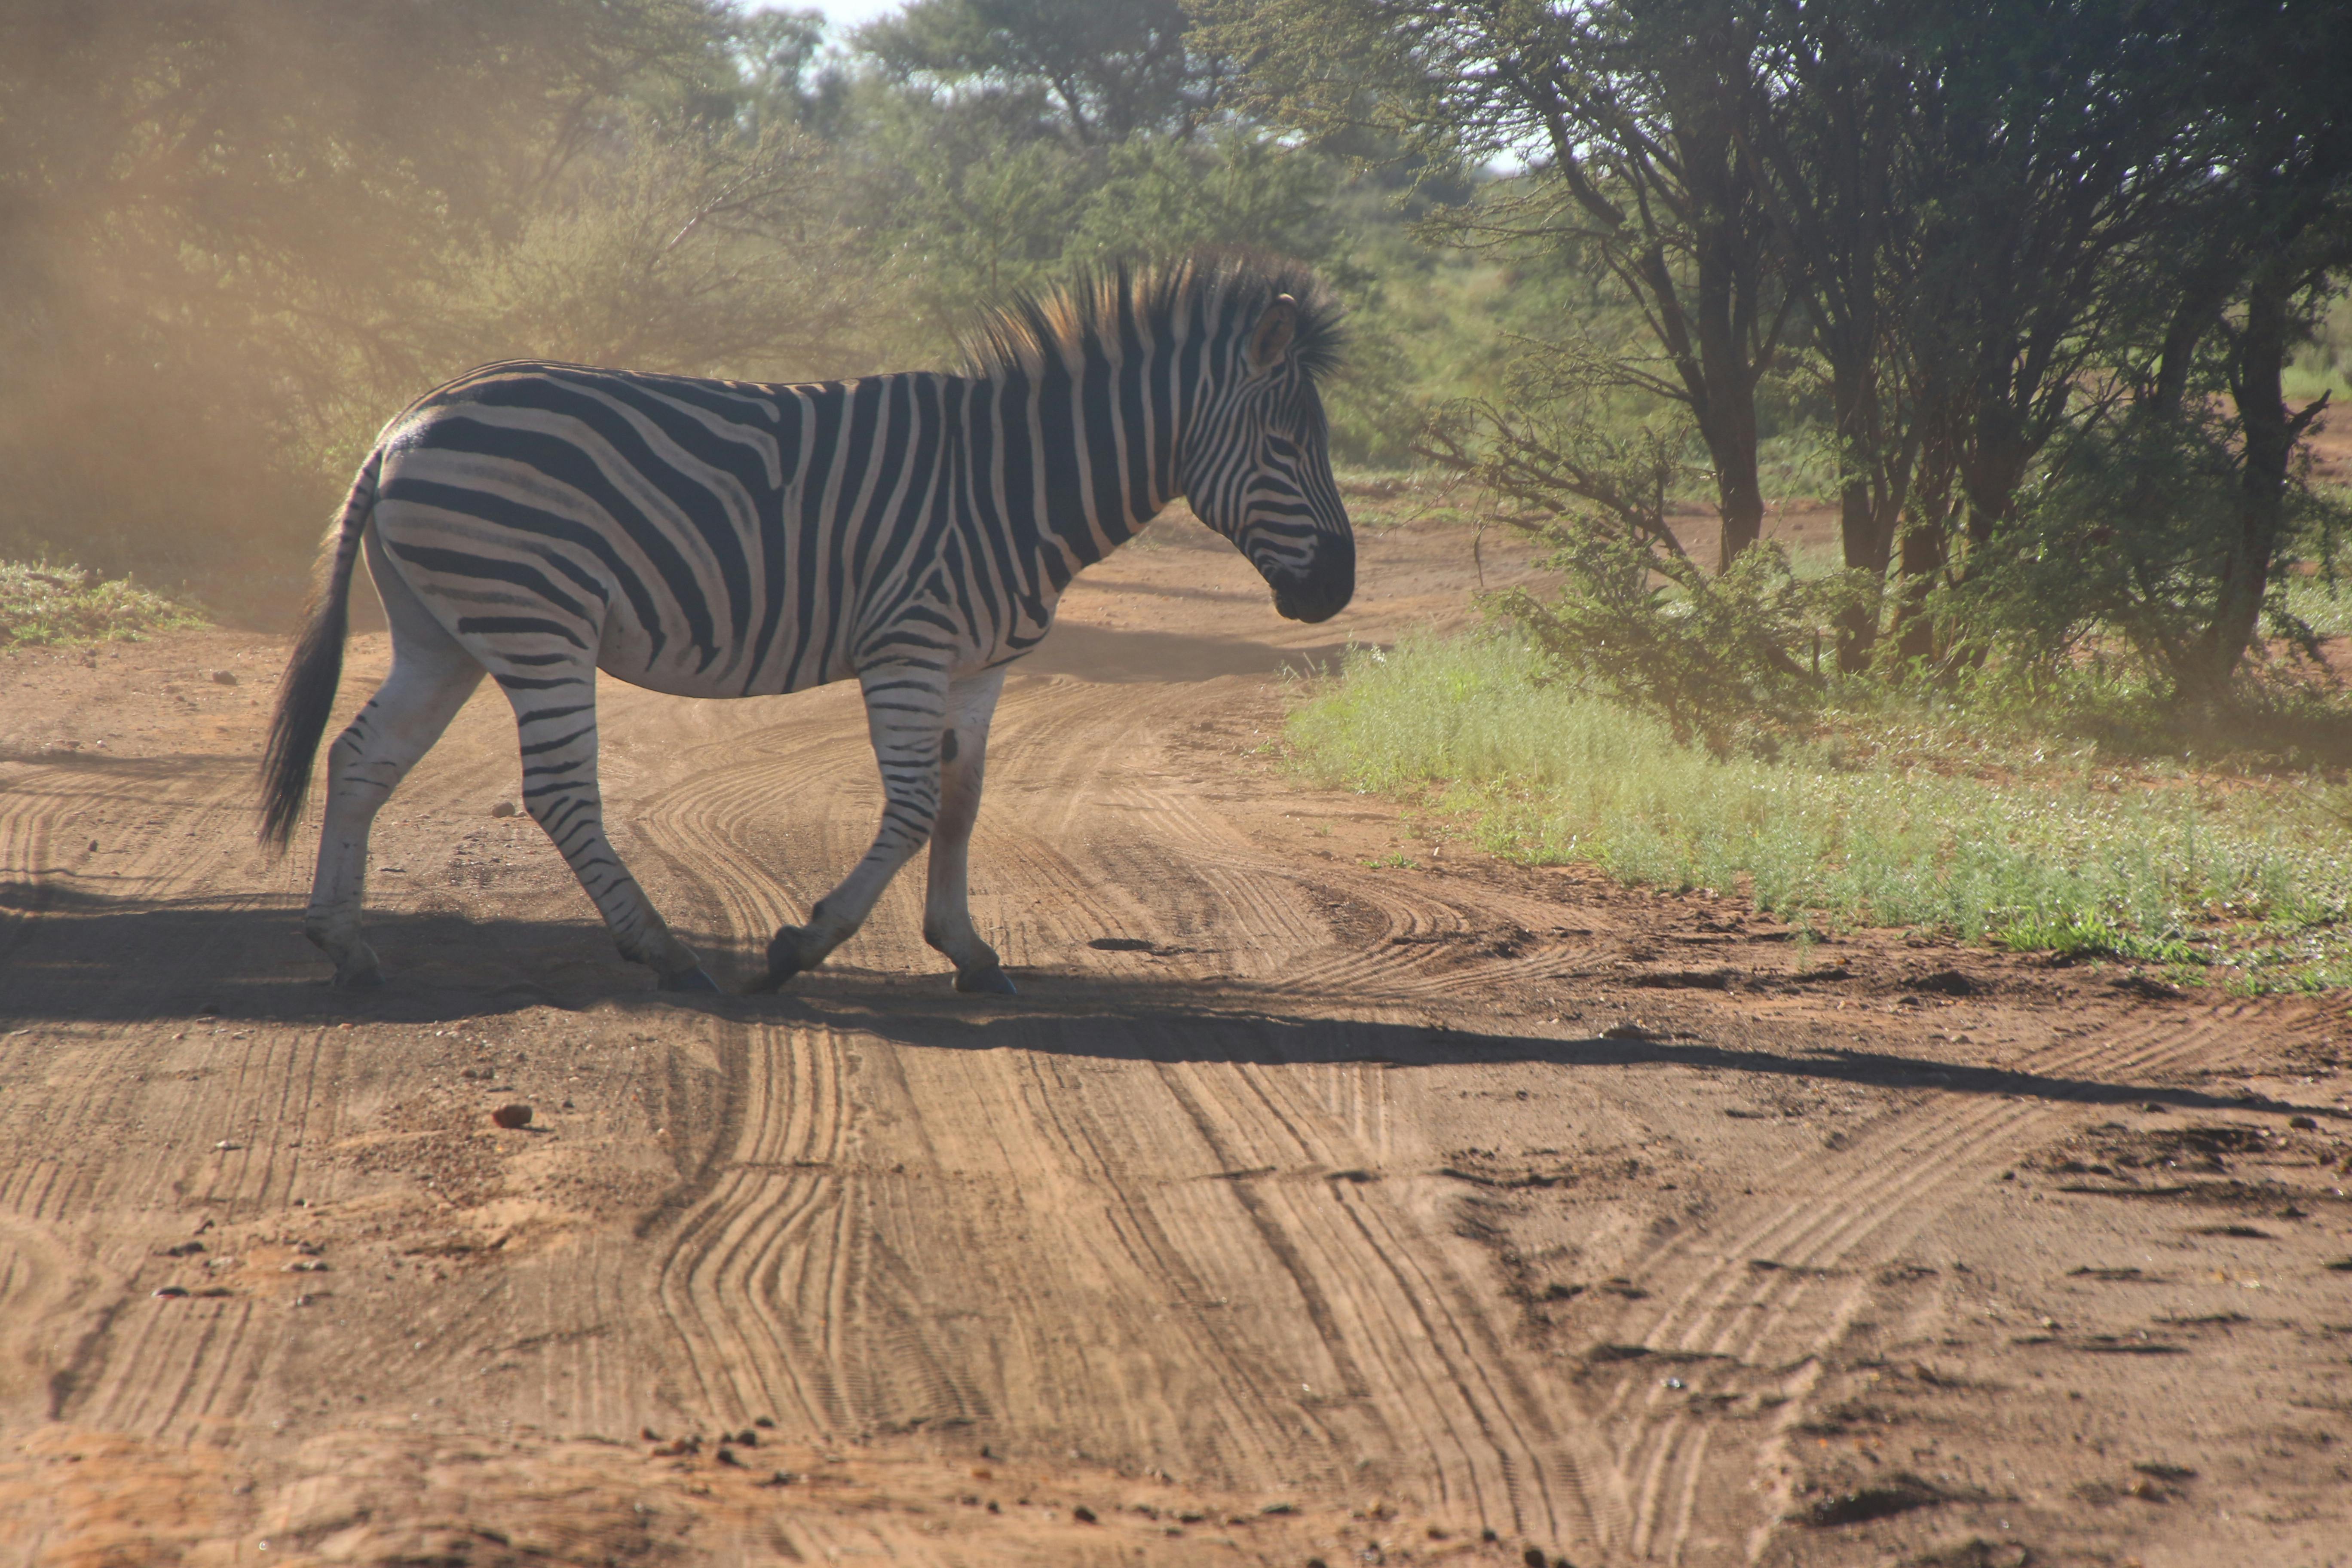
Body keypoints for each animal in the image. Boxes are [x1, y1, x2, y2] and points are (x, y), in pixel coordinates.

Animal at [259, 253, 1352, 995]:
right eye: (1286, 443)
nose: (1337, 589)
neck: (1012, 482)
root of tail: (403, 424)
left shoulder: (979, 665)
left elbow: (962, 803)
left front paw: (967, 950)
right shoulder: (908, 643)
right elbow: (911, 807)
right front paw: (802, 943)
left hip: (444, 629)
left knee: (361, 756)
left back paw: (344, 941)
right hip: (538, 619)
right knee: (560, 791)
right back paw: (667, 953)